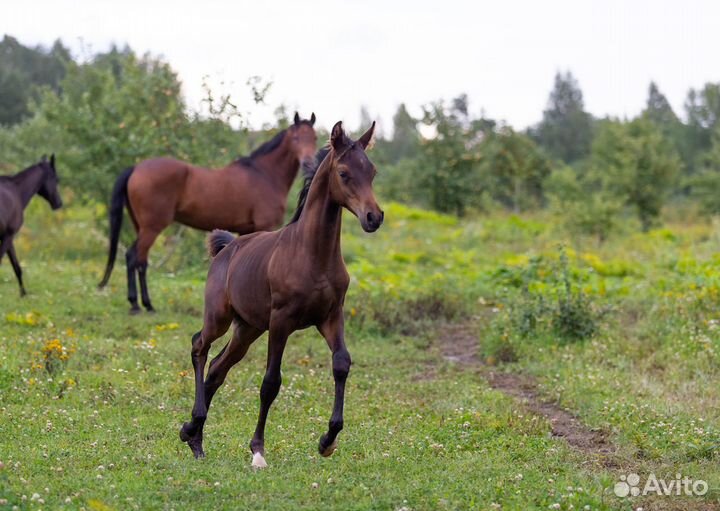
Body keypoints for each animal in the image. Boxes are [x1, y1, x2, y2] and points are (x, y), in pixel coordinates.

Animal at [0, 157, 62, 296]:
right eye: (56, 179)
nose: (59, 203)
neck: (16, 191)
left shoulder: (7, 238)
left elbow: (17, 267)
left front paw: (23, 294)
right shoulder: (8, 236)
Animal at [97, 112, 316, 314]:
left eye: (314, 138)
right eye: (296, 138)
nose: (308, 163)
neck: (264, 175)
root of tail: (136, 168)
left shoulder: (246, 230)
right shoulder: (265, 227)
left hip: (140, 226)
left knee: (135, 258)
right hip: (152, 228)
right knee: (136, 259)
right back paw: (141, 305)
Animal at [179, 120, 382, 468]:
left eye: (372, 171)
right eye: (344, 173)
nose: (374, 217)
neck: (312, 253)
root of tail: (226, 247)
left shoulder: (331, 316)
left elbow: (341, 363)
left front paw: (328, 440)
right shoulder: (281, 321)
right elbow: (271, 382)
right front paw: (258, 451)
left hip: (248, 328)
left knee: (218, 369)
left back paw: (195, 438)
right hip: (220, 317)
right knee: (199, 347)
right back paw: (193, 426)